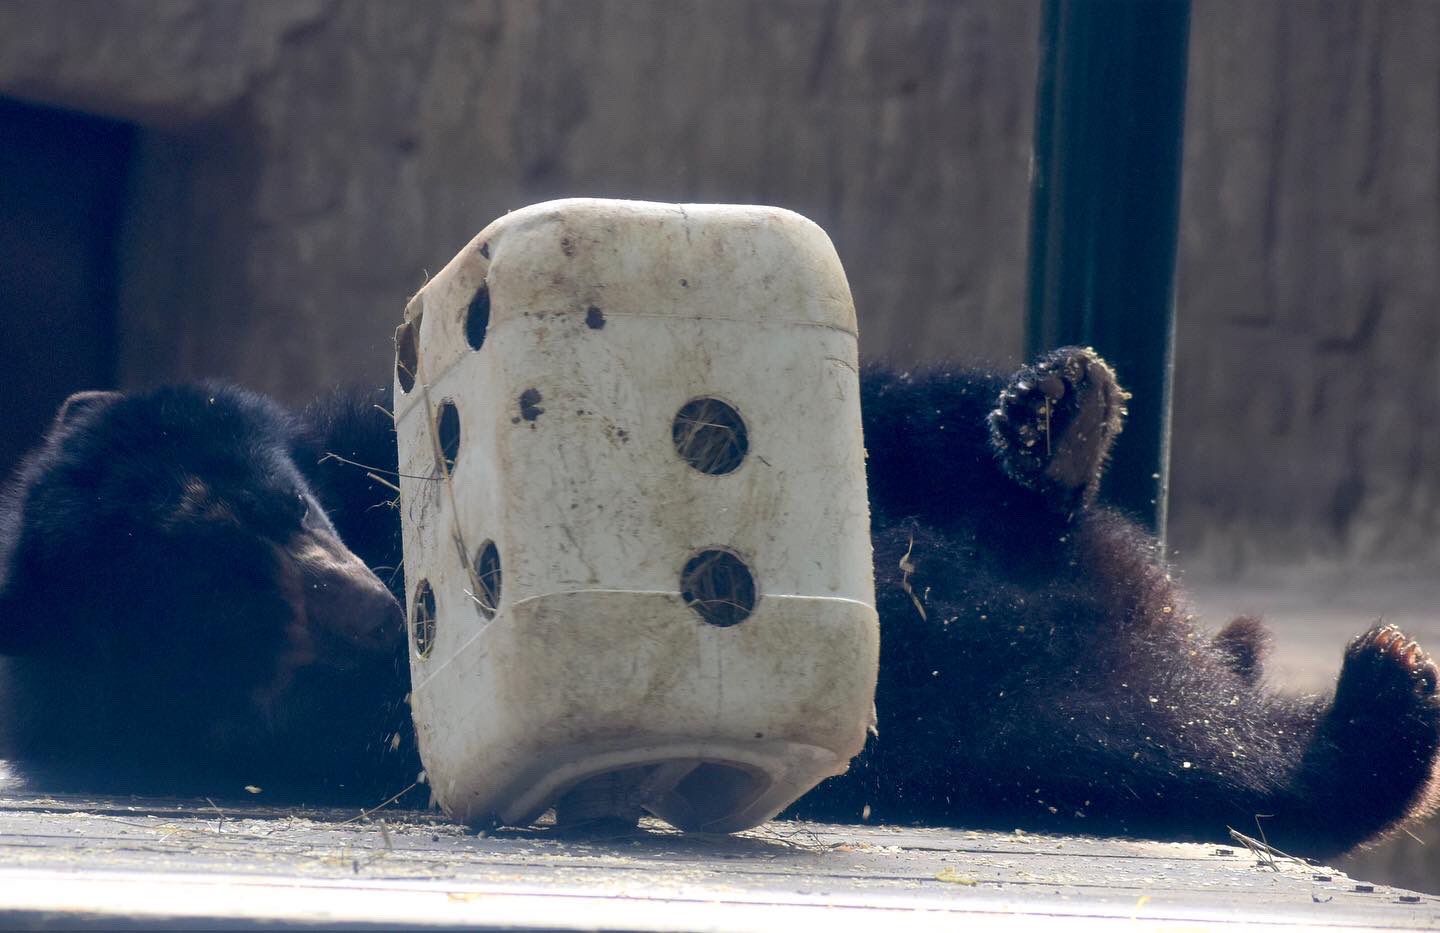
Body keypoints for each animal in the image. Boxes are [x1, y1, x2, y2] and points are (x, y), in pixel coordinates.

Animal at [0, 345, 1434, 858]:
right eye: (263, 611)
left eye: (289, 511)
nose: (364, 598)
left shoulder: (367, 438)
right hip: (1032, 707)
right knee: (1131, 735)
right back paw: (1375, 702)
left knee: (912, 431)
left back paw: (1049, 429)